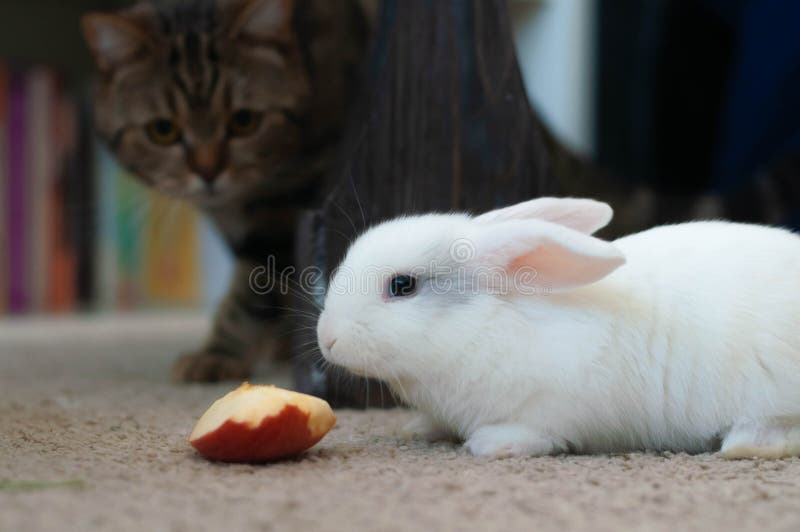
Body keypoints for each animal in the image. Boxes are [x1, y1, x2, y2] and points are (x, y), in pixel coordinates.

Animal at [83, 0, 370, 382]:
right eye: (162, 130)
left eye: (244, 121)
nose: (208, 171)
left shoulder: (288, 208)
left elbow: (250, 290)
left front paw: (219, 352)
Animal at [316, 197, 800, 460]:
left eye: (402, 286)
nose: (327, 338)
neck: (483, 325)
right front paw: (415, 429)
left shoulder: (550, 407)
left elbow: (538, 434)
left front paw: (490, 445)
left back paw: (745, 445)